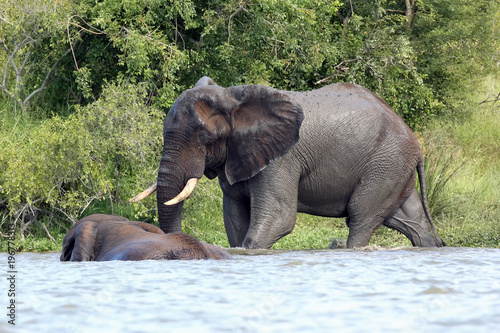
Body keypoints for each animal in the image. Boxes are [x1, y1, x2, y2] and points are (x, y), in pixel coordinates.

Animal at [130, 77, 446, 249]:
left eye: (205, 137)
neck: (234, 98)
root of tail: (416, 144)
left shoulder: (281, 160)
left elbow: (278, 218)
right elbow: (234, 218)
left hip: (385, 163)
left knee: (361, 217)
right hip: (393, 167)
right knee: (410, 220)